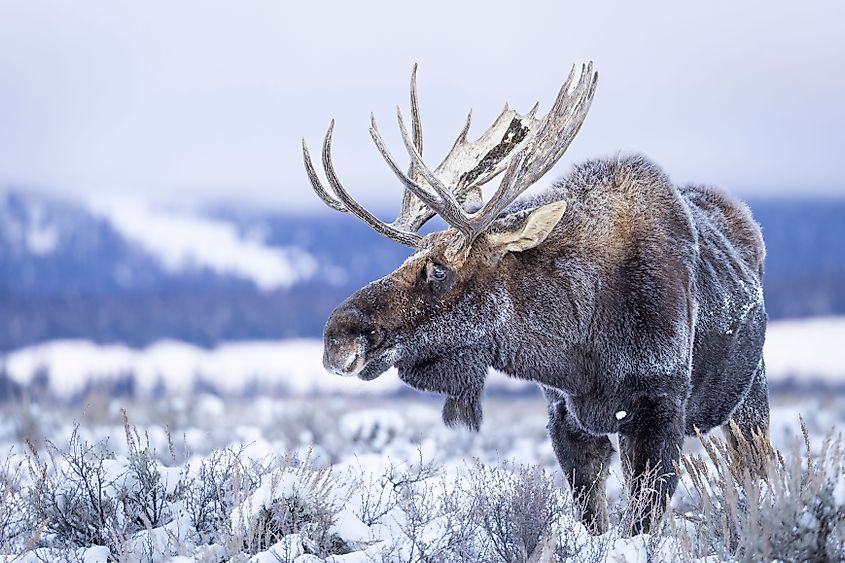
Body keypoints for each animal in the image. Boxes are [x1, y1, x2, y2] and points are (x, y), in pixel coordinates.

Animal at [304, 64, 772, 536]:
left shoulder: (659, 410)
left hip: (751, 398)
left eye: (439, 269)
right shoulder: (565, 417)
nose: (337, 337)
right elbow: (593, 517)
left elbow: (643, 520)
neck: (581, 346)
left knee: (758, 468)